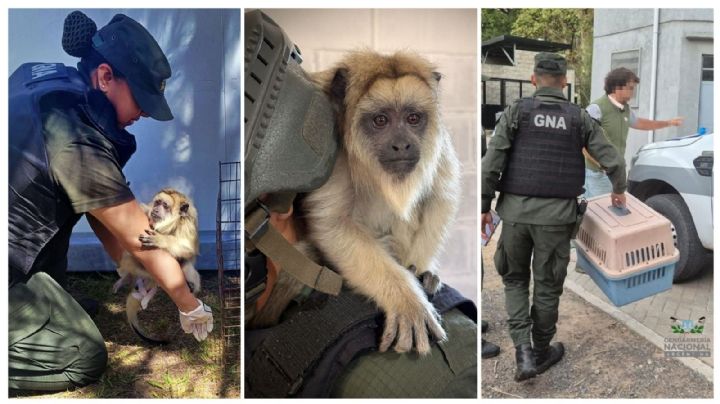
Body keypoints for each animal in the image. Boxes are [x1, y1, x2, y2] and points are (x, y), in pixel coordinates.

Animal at [113, 188, 201, 344]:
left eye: (165, 205)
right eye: (157, 203)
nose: (155, 209)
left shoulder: (186, 224)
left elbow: (188, 249)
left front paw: (161, 240)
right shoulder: (146, 210)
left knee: (185, 264)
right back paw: (127, 278)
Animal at [250, 51, 461, 355]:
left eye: (413, 118)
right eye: (381, 120)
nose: (402, 145)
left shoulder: (438, 147)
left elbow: (440, 198)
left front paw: (421, 272)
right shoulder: (333, 152)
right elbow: (333, 224)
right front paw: (407, 299)